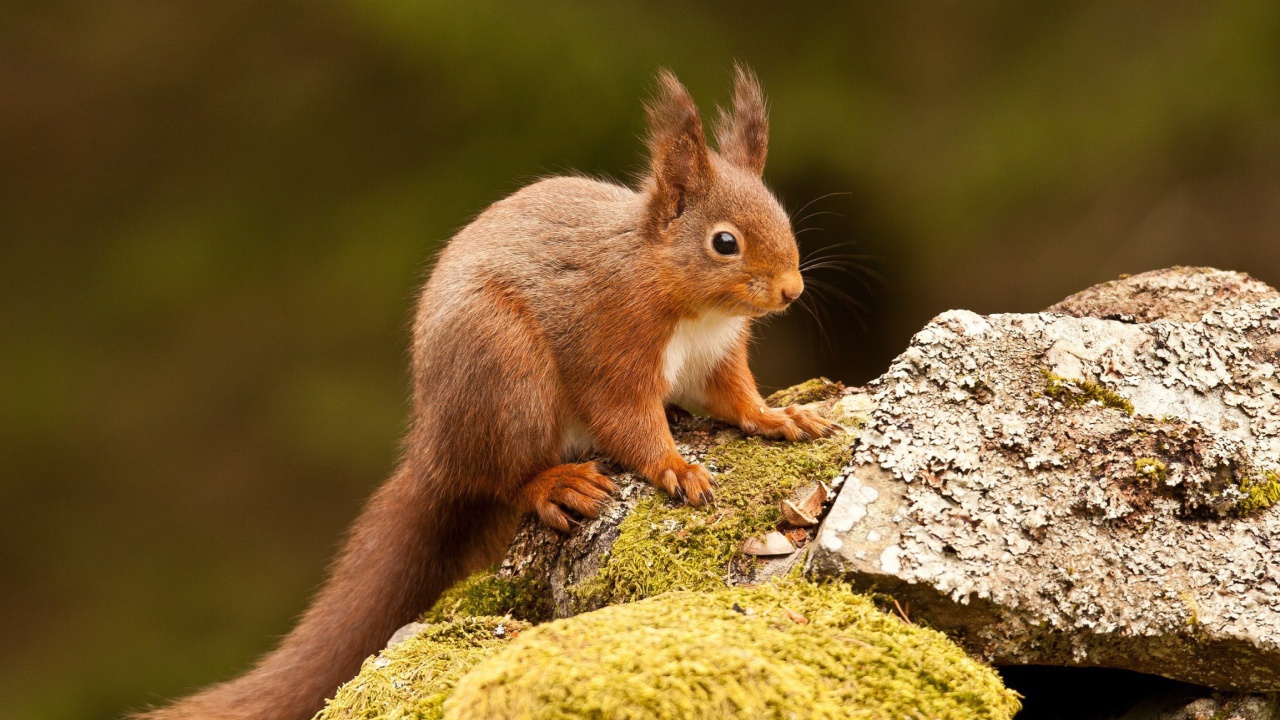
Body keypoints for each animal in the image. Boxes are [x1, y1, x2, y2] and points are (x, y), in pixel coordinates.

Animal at [140, 64, 834, 712]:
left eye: (782, 218)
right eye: (725, 242)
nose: (792, 289)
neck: (683, 297)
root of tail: (432, 452)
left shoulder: (717, 357)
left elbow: (736, 399)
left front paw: (781, 418)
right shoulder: (611, 343)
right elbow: (625, 419)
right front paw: (675, 466)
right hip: (505, 373)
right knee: (502, 477)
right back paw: (554, 484)